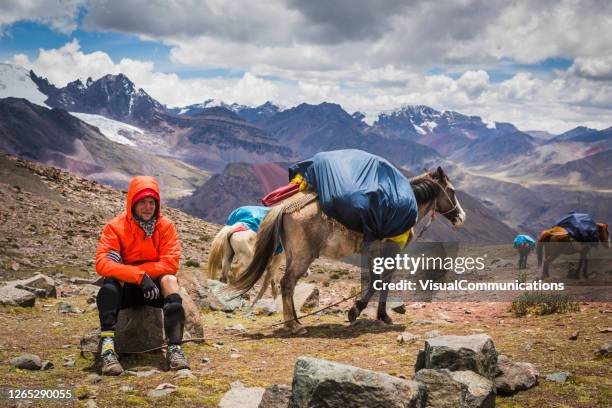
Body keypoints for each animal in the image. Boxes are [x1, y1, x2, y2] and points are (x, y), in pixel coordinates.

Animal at [232, 167, 466, 334]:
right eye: (452, 191)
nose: (461, 217)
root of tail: (285, 207)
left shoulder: (374, 253)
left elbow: (379, 280)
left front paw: (379, 314)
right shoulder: (390, 251)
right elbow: (381, 281)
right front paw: (358, 311)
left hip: (291, 255)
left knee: (287, 285)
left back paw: (296, 320)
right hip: (302, 256)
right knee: (287, 283)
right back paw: (294, 325)